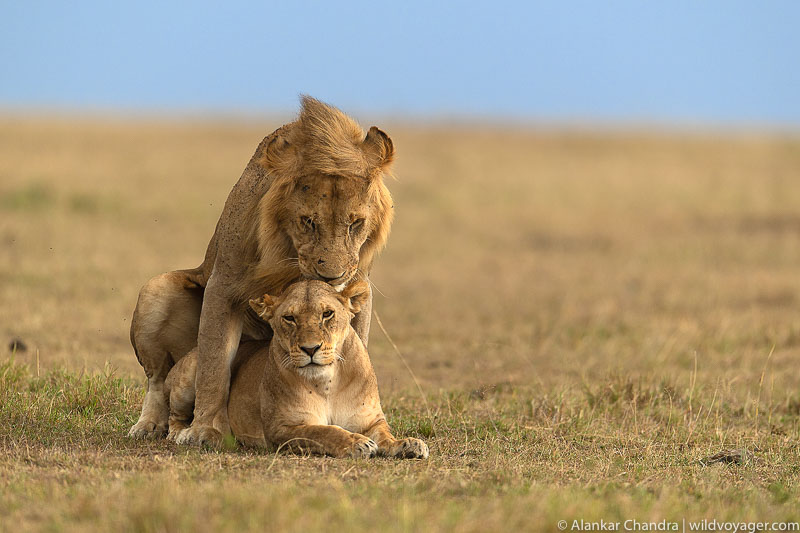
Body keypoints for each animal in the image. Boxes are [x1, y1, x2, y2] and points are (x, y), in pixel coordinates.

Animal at [128, 96, 395, 447]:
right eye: (308, 221)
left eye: (356, 223)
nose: (333, 275)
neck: (291, 258)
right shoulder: (223, 284)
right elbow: (214, 366)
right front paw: (205, 430)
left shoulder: (359, 287)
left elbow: (356, 344)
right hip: (157, 289)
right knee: (158, 380)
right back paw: (149, 425)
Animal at [163, 280, 429, 459]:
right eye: (289, 318)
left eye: (327, 314)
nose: (310, 349)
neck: (327, 382)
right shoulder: (283, 428)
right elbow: (324, 432)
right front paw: (357, 443)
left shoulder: (370, 419)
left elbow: (385, 434)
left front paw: (409, 444)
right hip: (193, 373)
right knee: (175, 417)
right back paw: (183, 434)